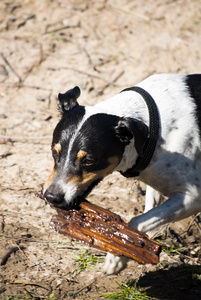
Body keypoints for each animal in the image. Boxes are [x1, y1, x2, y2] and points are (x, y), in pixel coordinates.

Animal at [43, 73, 201, 274]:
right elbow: (148, 216)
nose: (52, 197)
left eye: (89, 161)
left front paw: (118, 256)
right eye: (54, 153)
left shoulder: (193, 196)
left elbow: (137, 222)